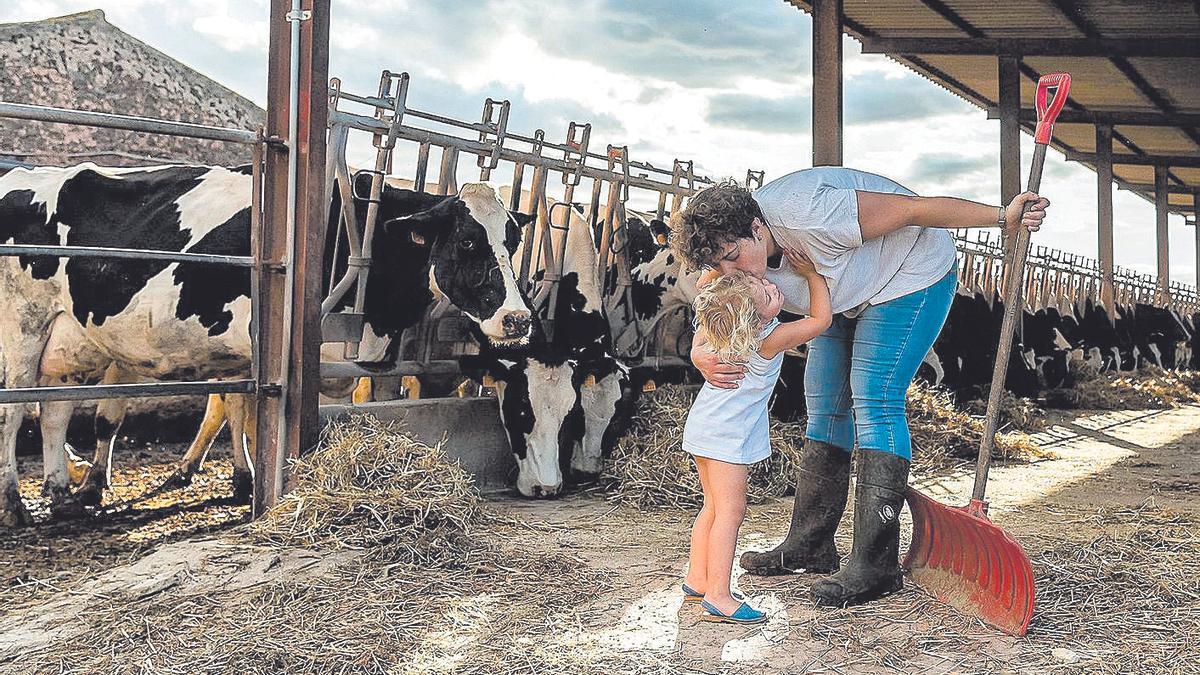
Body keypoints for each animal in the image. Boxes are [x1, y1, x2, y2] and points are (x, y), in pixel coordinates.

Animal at [0, 164, 530, 526]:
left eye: (512, 242)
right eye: (466, 241)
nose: (518, 319)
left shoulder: (377, 362)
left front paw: (246, 481)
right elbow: (253, 415)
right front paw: (261, 484)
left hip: (72, 342)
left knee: (54, 411)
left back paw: (61, 493)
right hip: (23, 329)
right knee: (15, 410)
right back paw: (15, 502)